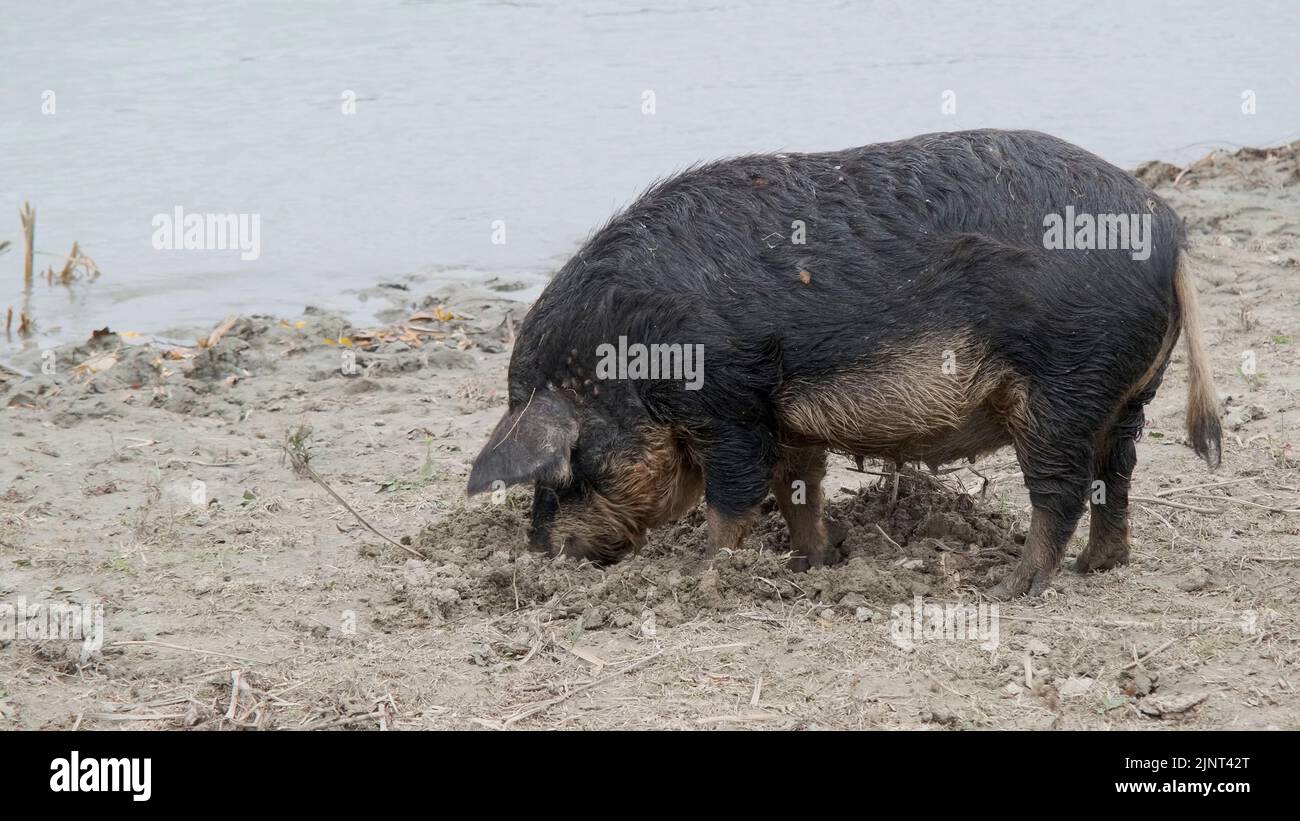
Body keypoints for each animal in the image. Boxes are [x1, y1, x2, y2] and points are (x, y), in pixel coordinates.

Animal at [465, 131, 1216, 600]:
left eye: (566, 468)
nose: (541, 549)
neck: (626, 355)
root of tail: (1167, 228)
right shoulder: (785, 419)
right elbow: (800, 486)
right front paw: (814, 561)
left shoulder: (729, 406)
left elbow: (734, 498)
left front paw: (705, 578)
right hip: (1129, 395)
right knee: (1117, 475)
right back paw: (1098, 566)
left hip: (1063, 388)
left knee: (1061, 490)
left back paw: (1007, 587)